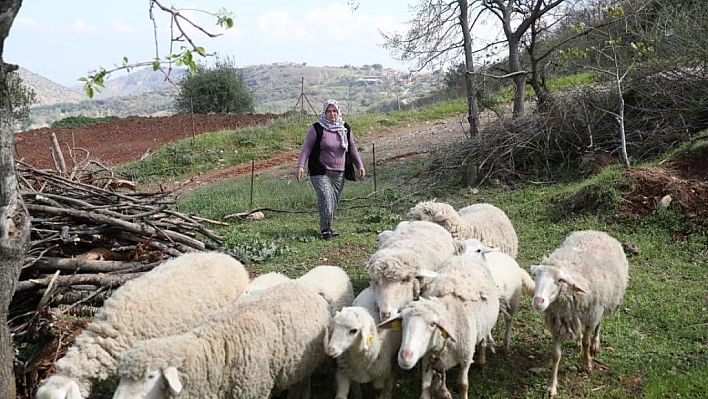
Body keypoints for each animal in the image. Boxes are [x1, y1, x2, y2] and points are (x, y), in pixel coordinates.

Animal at [110, 278, 340, 399]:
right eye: (122, 377)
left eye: (150, 377)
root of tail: (310, 289)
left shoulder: (251, 391)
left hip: (305, 361)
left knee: (303, 382)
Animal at [382, 253, 498, 399]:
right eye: (402, 321)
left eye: (433, 324)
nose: (405, 357)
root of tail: (467, 256)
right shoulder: (428, 356)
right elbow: (425, 387)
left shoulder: (466, 357)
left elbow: (463, 385)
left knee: (483, 340)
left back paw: (481, 360)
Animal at [532, 230, 632, 398]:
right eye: (535, 277)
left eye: (560, 280)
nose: (538, 302)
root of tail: (597, 231)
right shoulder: (557, 323)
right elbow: (556, 355)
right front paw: (552, 387)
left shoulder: (592, 316)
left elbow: (586, 341)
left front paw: (587, 363)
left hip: (602, 304)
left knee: (599, 324)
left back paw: (595, 344)